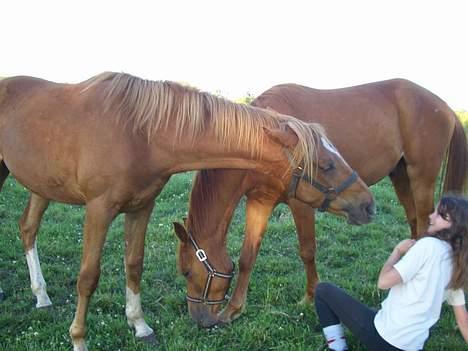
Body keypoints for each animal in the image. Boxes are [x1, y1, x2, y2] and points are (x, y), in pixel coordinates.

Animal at [0, 73, 372, 350]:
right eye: (325, 165)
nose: (369, 204)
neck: (138, 132)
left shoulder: (142, 206)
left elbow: (134, 264)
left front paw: (140, 326)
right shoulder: (99, 209)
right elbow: (88, 276)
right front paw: (79, 339)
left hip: (41, 185)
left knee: (28, 228)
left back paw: (42, 297)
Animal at [174, 77, 466, 328]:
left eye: (187, 272)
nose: (199, 318)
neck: (266, 143)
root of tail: (445, 106)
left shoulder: (302, 204)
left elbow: (307, 251)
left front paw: (310, 296)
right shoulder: (259, 201)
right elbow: (248, 256)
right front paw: (233, 309)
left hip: (421, 179)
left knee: (425, 228)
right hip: (401, 177)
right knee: (415, 224)